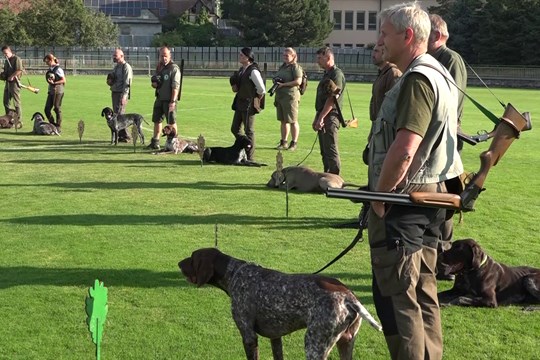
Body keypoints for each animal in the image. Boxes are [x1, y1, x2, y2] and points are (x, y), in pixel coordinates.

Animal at [179, 248, 382, 360]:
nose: (179, 263)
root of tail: (348, 297)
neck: (234, 273)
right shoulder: (275, 337)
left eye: (192, 257)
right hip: (345, 343)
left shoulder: (249, 336)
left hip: (315, 345)